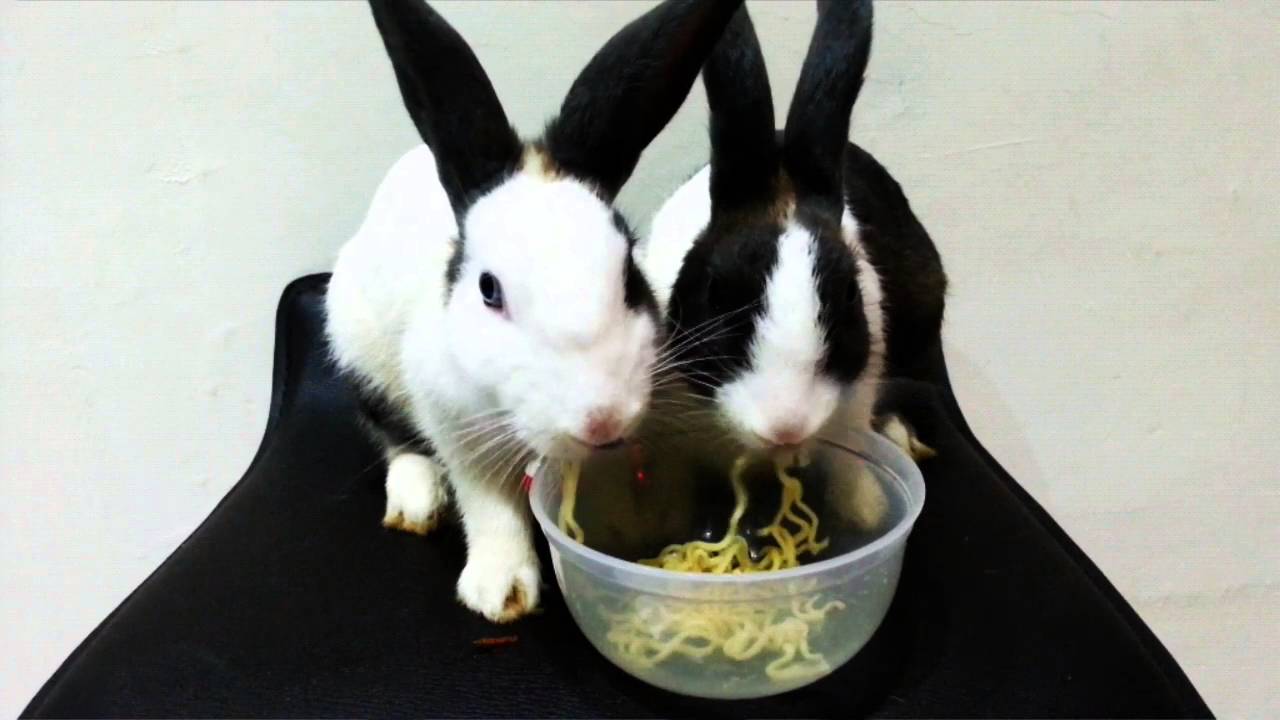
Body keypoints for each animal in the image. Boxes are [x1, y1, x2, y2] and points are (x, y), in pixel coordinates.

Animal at [325, 0, 742, 623]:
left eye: (629, 274)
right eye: (488, 290)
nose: (603, 420)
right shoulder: (456, 425)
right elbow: (489, 506)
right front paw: (500, 593)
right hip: (357, 348)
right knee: (392, 435)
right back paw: (416, 501)